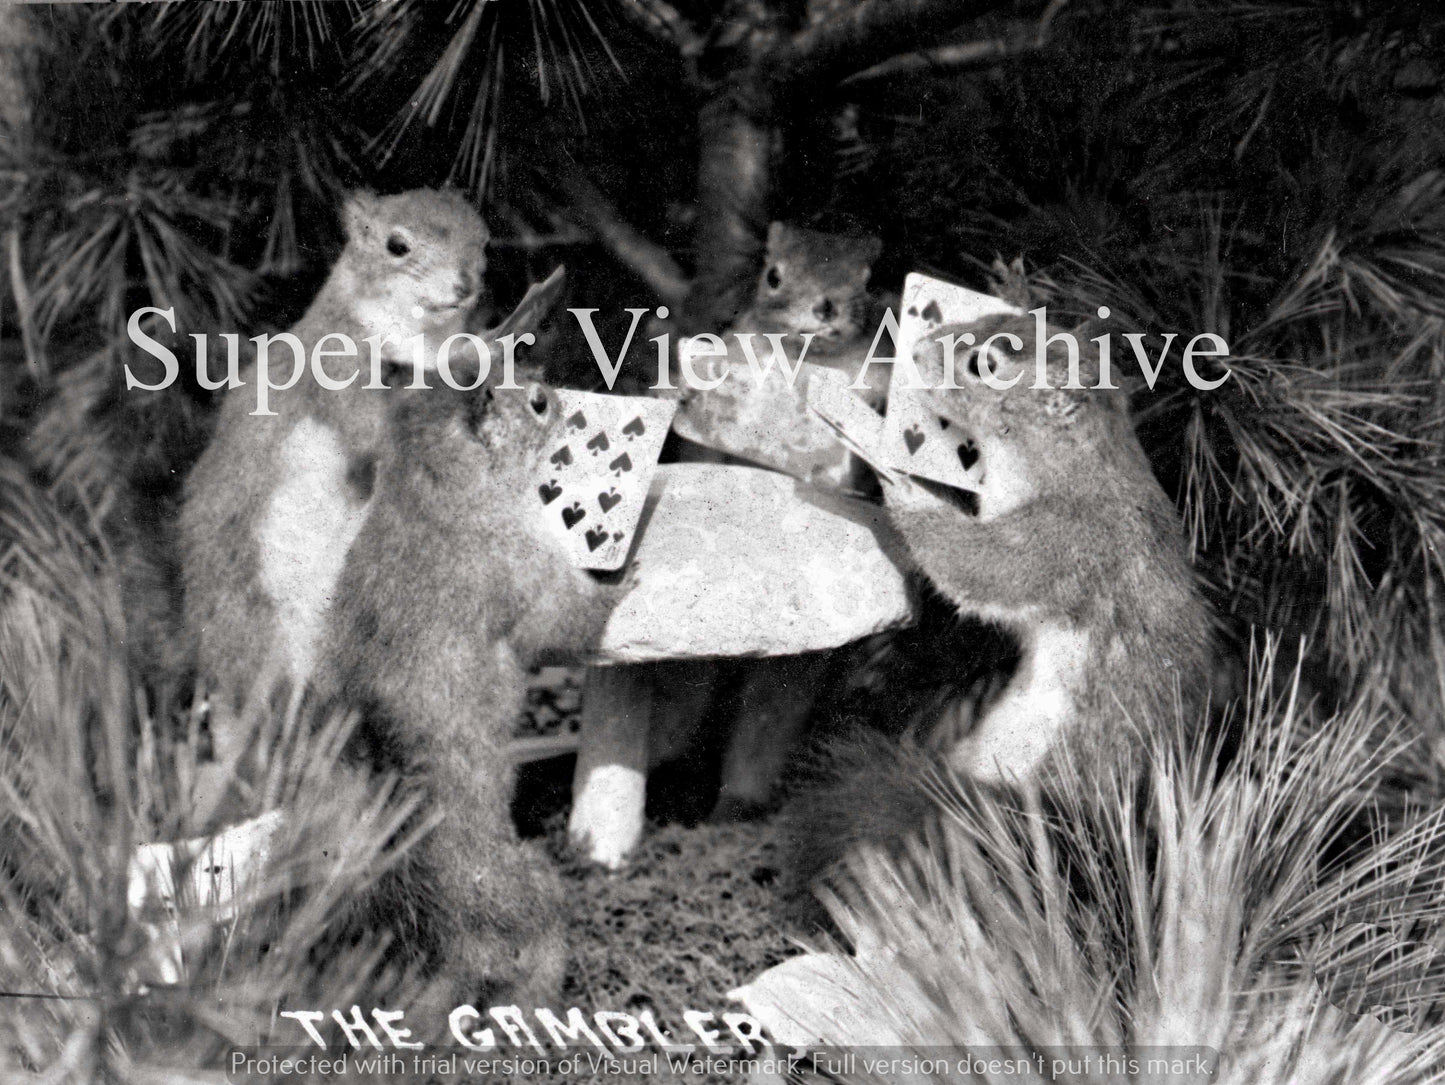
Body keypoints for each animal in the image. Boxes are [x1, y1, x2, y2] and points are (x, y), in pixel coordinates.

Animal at [179, 189, 488, 765]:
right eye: (396, 245)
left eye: (483, 239)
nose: (464, 285)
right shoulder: (338, 378)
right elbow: (377, 431)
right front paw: (476, 354)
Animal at [314, 375, 622, 1012]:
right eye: (535, 403)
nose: (556, 393)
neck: (427, 496)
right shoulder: (528, 569)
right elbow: (573, 617)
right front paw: (628, 575)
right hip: (538, 899)